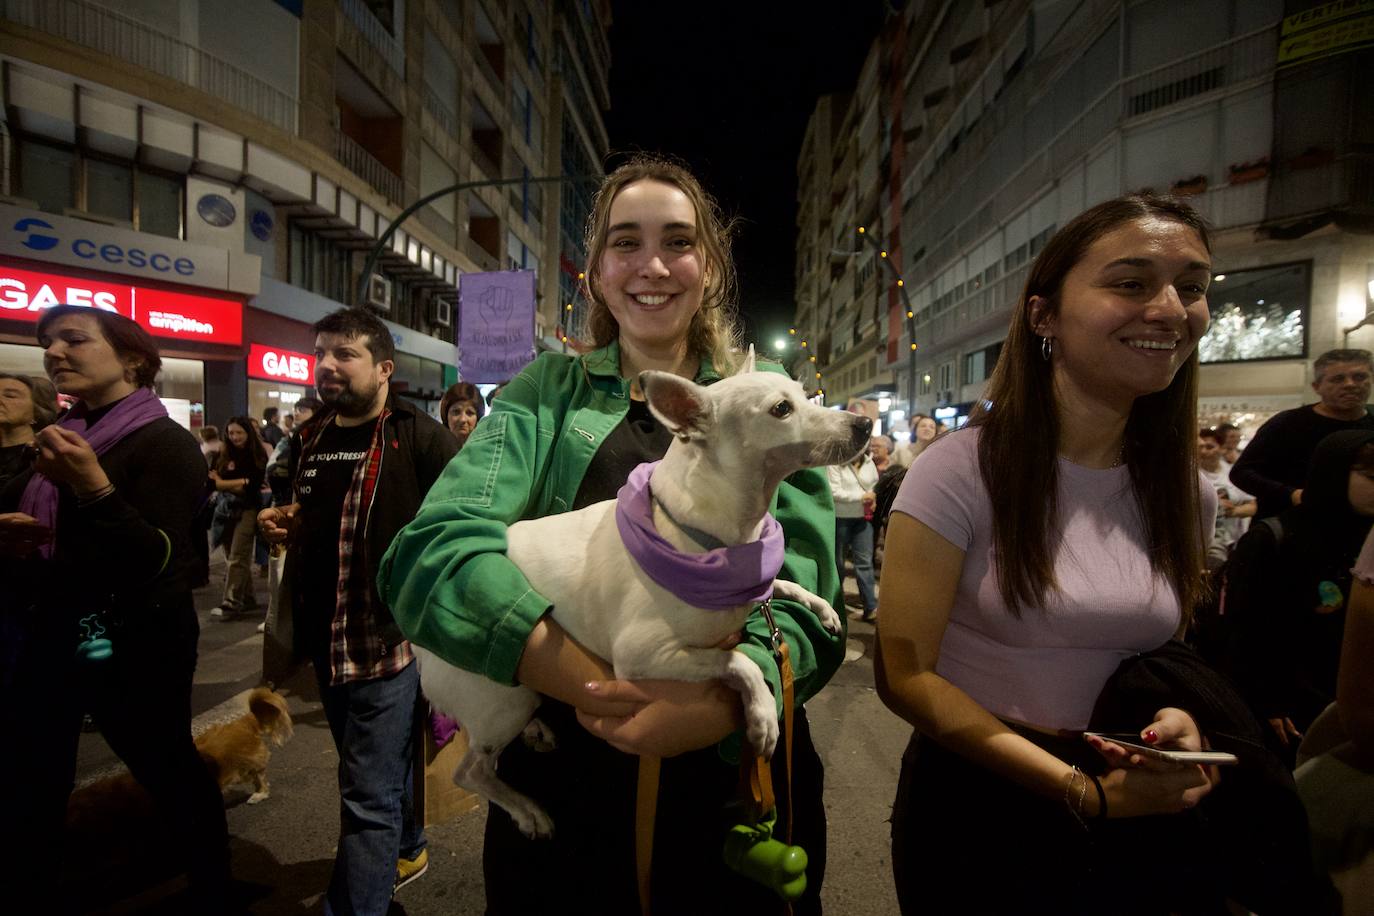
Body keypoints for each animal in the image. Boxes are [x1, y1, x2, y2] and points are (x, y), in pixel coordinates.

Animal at [414, 354, 868, 840]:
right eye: (782, 409)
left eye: (807, 395)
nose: (864, 424)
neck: (710, 538)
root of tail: (419, 647)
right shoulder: (645, 656)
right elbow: (738, 662)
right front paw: (763, 713)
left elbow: (779, 585)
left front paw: (821, 606)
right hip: (502, 702)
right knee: (471, 771)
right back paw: (525, 809)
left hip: (515, 695)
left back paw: (536, 732)